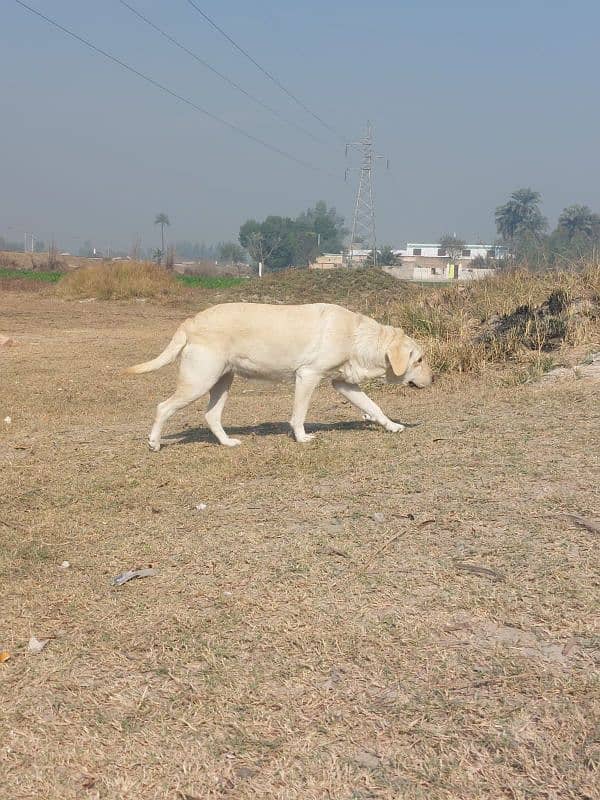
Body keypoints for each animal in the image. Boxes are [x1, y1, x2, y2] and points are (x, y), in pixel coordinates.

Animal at [126, 302, 432, 450]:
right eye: (419, 360)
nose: (434, 379)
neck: (357, 335)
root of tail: (190, 322)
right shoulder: (308, 375)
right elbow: (299, 414)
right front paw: (302, 438)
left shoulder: (343, 383)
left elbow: (374, 407)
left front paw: (392, 426)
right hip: (198, 382)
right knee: (163, 407)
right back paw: (154, 443)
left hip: (222, 382)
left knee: (211, 416)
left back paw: (226, 443)